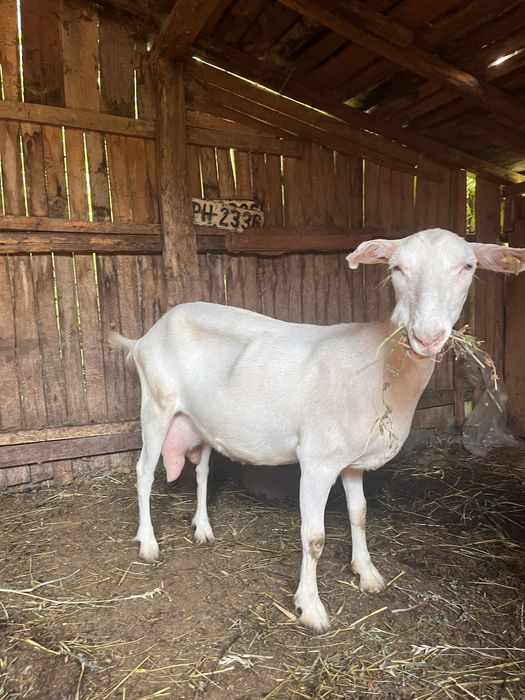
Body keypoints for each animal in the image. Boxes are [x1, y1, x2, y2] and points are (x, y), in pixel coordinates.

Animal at [110, 228, 525, 633]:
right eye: (396, 268)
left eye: (468, 267)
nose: (426, 337)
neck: (379, 364)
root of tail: (146, 336)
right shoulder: (317, 462)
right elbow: (314, 538)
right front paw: (310, 608)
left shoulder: (352, 462)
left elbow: (360, 514)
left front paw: (367, 573)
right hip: (156, 405)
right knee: (144, 472)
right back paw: (148, 544)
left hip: (201, 421)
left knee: (201, 470)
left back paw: (203, 529)